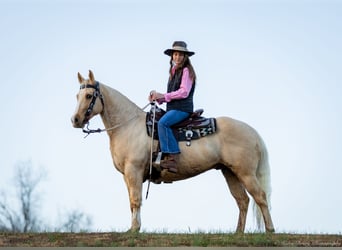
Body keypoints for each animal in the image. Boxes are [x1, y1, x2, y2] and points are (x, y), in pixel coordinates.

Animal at [71, 70, 274, 232]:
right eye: (76, 96)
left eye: (89, 95)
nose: (75, 120)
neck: (128, 125)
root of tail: (253, 133)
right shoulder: (126, 175)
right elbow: (131, 201)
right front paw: (133, 227)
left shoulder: (133, 170)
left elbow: (135, 200)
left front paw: (134, 229)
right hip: (229, 172)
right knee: (243, 201)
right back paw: (238, 233)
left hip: (246, 173)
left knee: (260, 197)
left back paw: (270, 230)